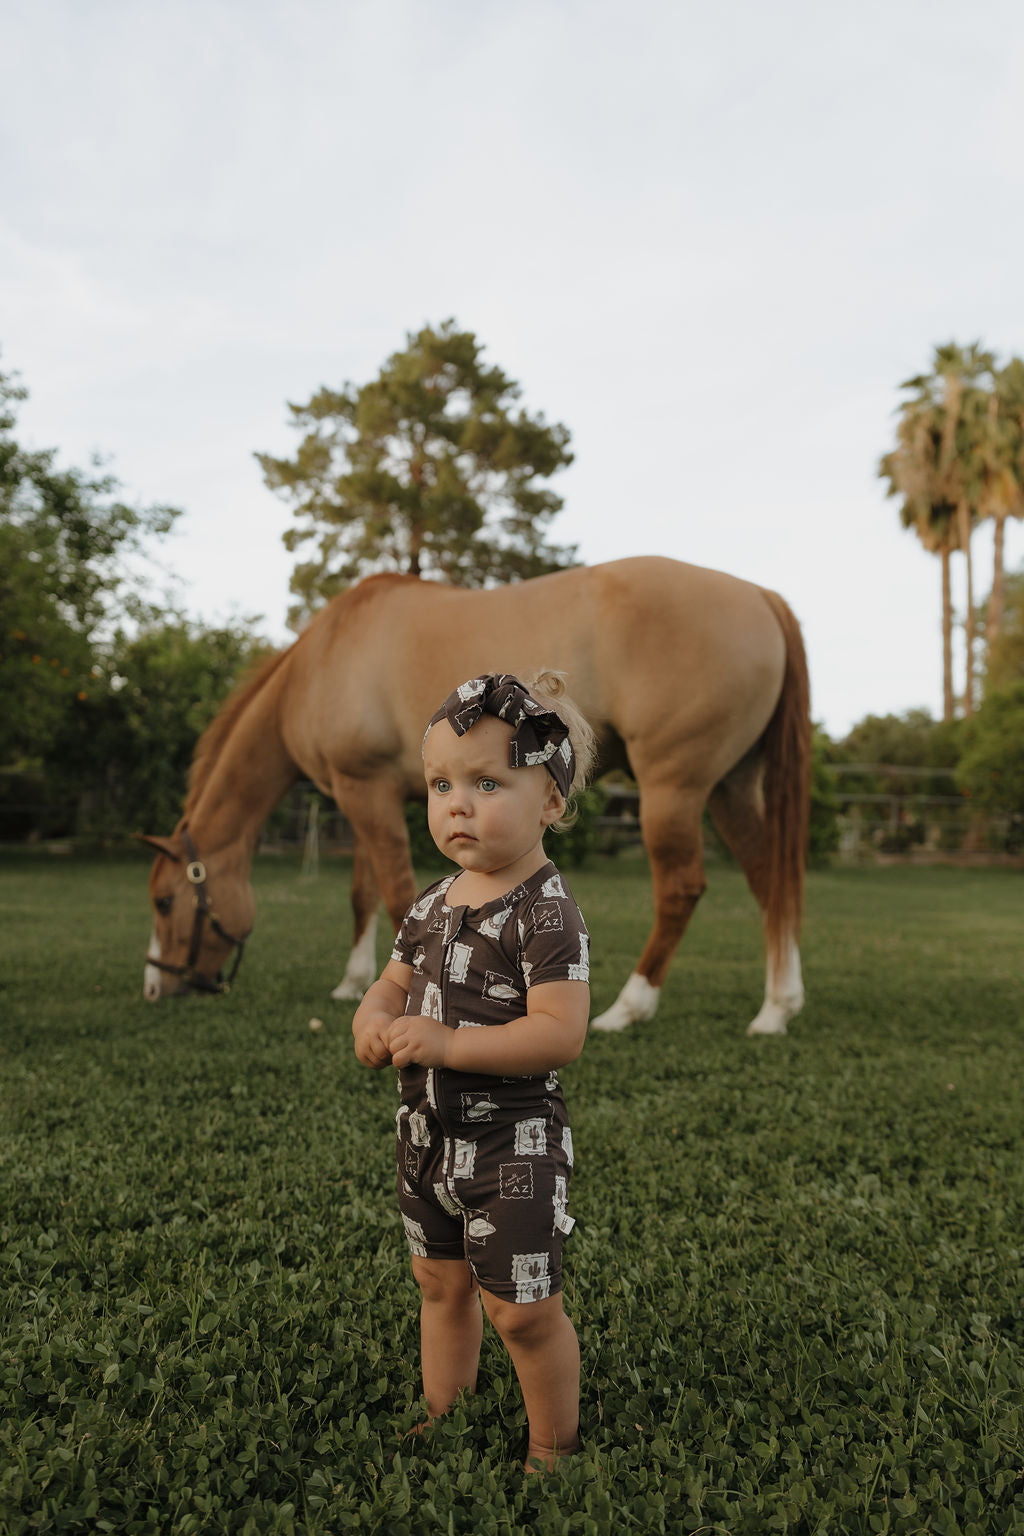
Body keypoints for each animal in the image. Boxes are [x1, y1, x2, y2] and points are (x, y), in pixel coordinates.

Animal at [140, 555, 811, 1035]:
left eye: (165, 902)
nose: (154, 987)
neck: (324, 659)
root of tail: (761, 597)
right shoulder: (371, 796)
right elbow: (362, 894)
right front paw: (352, 981)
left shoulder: (365, 793)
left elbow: (395, 894)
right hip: (730, 788)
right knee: (768, 881)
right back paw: (777, 1007)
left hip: (675, 788)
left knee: (681, 889)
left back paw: (630, 1007)